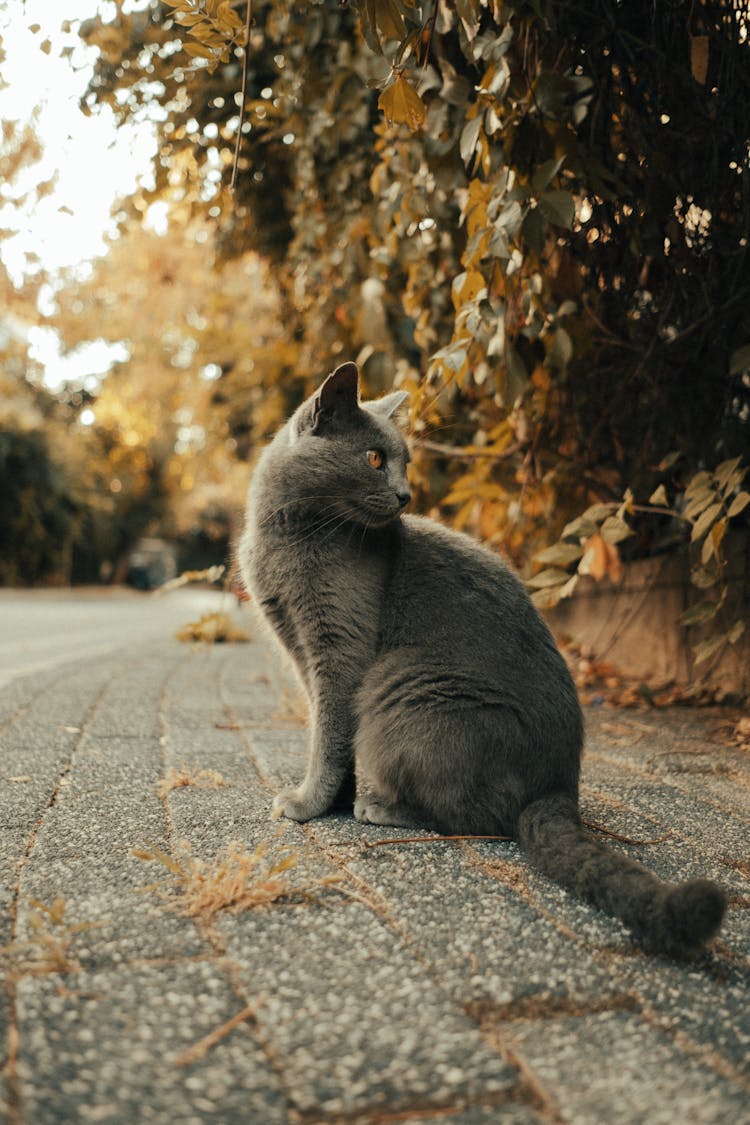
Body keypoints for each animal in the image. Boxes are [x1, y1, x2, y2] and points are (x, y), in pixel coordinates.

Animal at [240, 362, 728, 958]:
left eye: (403, 460)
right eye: (375, 459)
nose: (405, 494)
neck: (287, 533)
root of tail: (560, 785)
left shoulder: (339, 650)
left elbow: (329, 736)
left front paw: (309, 803)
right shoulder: (300, 652)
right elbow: (327, 734)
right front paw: (327, 798)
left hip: (401, 687)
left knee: (472, 813)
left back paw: (378, 806)